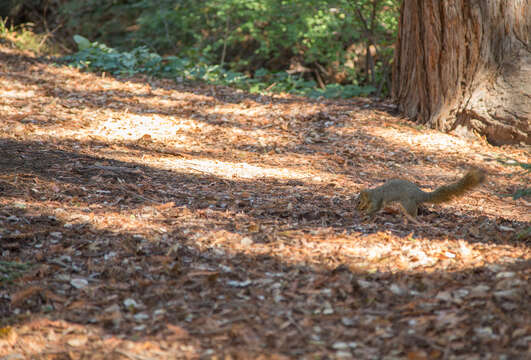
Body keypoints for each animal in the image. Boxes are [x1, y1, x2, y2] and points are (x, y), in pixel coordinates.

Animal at [358, 168, 486, 221]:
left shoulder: (377, 199)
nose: (356, 208)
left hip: (407, 202)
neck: (371, 193)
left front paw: (366, 212)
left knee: (413, 213)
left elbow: (376, 208)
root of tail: (420, 194)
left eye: (359, 201)